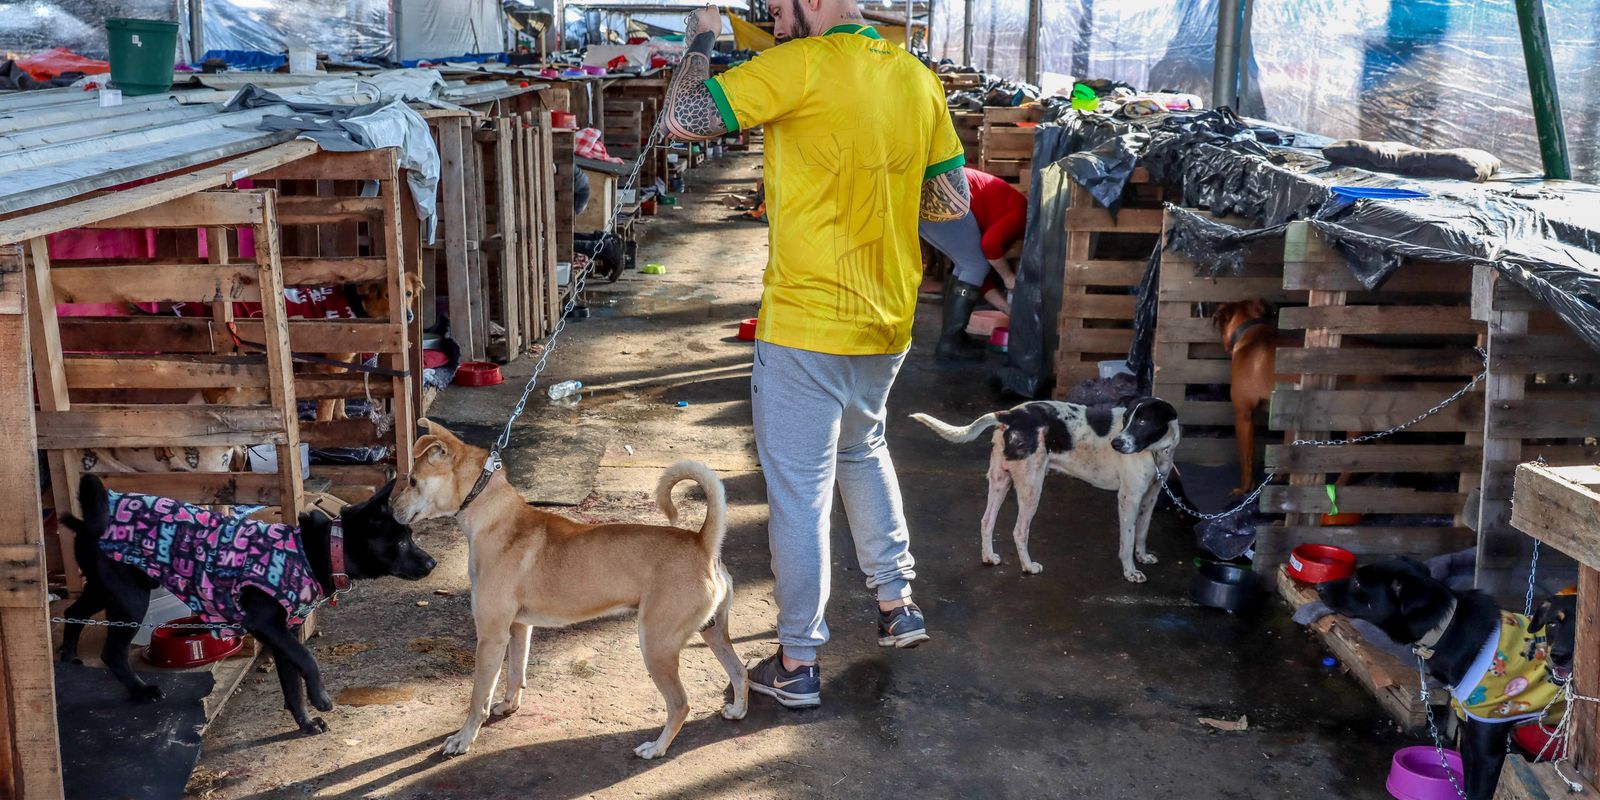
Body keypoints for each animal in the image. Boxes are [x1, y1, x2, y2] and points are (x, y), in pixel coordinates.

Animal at [59, 473, 438, 736]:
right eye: (401, 542)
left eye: (410, 537)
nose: (433, 562)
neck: (320, 550)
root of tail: (86, 521)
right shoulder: (266, 624)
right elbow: (309, 661)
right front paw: (321, 699)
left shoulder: (285, 633)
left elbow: (292, 681)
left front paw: (304, 723)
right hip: (130, 597)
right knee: (111, 651)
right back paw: (140, 691)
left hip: (105, 588)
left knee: (71, 612)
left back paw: (68, 658)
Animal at [390, 422, 745, 758]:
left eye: (412, 481)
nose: (392, 511)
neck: (494, 516)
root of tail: (703, 543)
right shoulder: (519, 627)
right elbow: (515, 673)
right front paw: (509, 706)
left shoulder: (491, 635)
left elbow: (479, 696)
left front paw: (463, 739)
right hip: (711, 630)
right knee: (739, 671)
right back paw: (737, 710)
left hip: (657, 644)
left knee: (681, 703)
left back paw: (656, 748)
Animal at [908, 398, 1184, 582]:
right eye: (1127, 420)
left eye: (1143, 420)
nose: (1116, 443)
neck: (1156, 451)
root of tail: (1010, 414)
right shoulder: (1129, 498)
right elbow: (1127, 539)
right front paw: (1130, 571)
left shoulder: (1150, 497)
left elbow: (1142, 532)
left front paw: (1143, 557)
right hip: (1031, 487)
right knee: (1019, 530)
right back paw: (1028, 567)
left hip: (1000, 481)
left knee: (986, 521)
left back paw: (989, 557)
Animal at [1318, 556, 1580, 800]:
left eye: (1357, 582)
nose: (1320, 586)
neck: (1447, 628)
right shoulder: (1469, 738)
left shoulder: (1488, 752)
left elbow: (1479, 793)